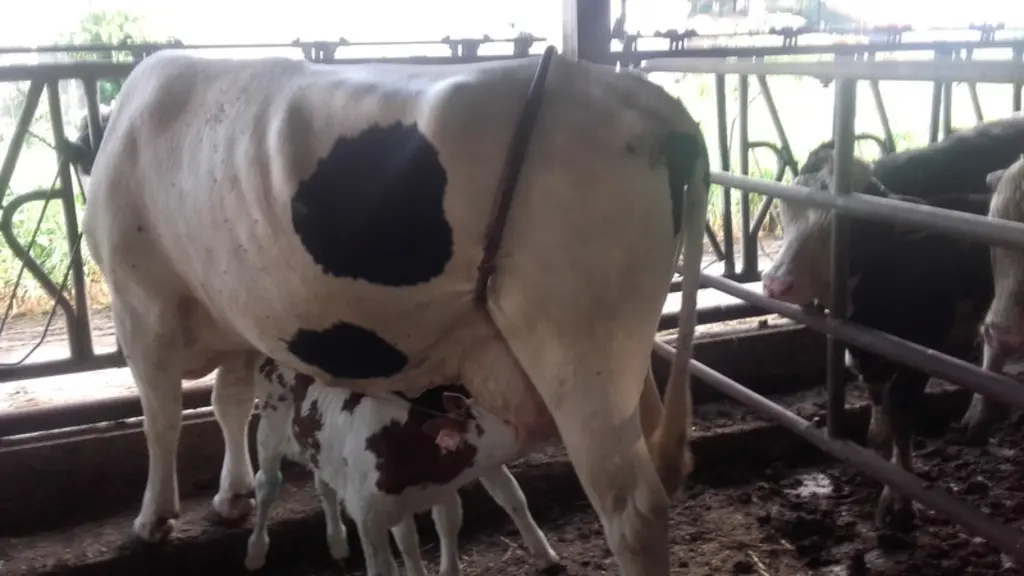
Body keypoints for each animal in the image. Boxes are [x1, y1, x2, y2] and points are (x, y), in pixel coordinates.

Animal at [244, 357, 560, 575]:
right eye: (506, 414)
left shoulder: (438, 488)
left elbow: (484, 508)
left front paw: (545, 555)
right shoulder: (370, 516)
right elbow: (393, 555)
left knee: (325, 485)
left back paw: (337, 543)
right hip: (269, 430)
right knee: (266, 485)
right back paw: (256, 552)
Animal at [762, 146, 994, 529]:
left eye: (854, 227)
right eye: (787, 206)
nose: (777, 283)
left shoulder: (921, 353)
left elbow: (900, 417)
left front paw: (899, 503)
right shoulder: (866, 355)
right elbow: (877, 430)